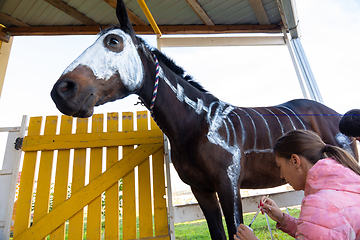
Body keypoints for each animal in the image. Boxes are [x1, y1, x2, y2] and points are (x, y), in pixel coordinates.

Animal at [50, 0, 358, 239]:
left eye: (113, 41)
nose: (62, 91)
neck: (199, 124)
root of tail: (335, 114)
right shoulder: (201, 191)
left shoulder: (228, 186)